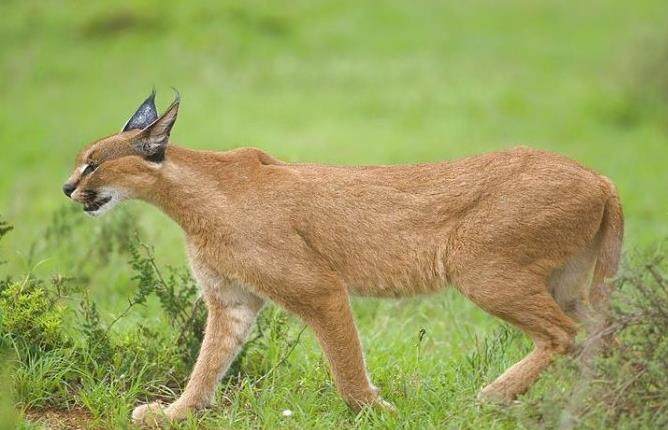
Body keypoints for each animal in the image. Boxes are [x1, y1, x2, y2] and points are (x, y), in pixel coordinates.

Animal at [62, 90, 620, 424]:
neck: (187, 198)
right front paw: (177, 412)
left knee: (565, 334)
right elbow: (209, 362)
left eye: (93, 164)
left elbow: (345, 365)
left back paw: (493, 397)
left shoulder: (319, 287)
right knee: (601, 330)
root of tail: (599, 176)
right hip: (562, 282)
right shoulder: (231, 302)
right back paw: (597, 403)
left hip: (480, 268)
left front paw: (381, 412)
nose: (67, 187)